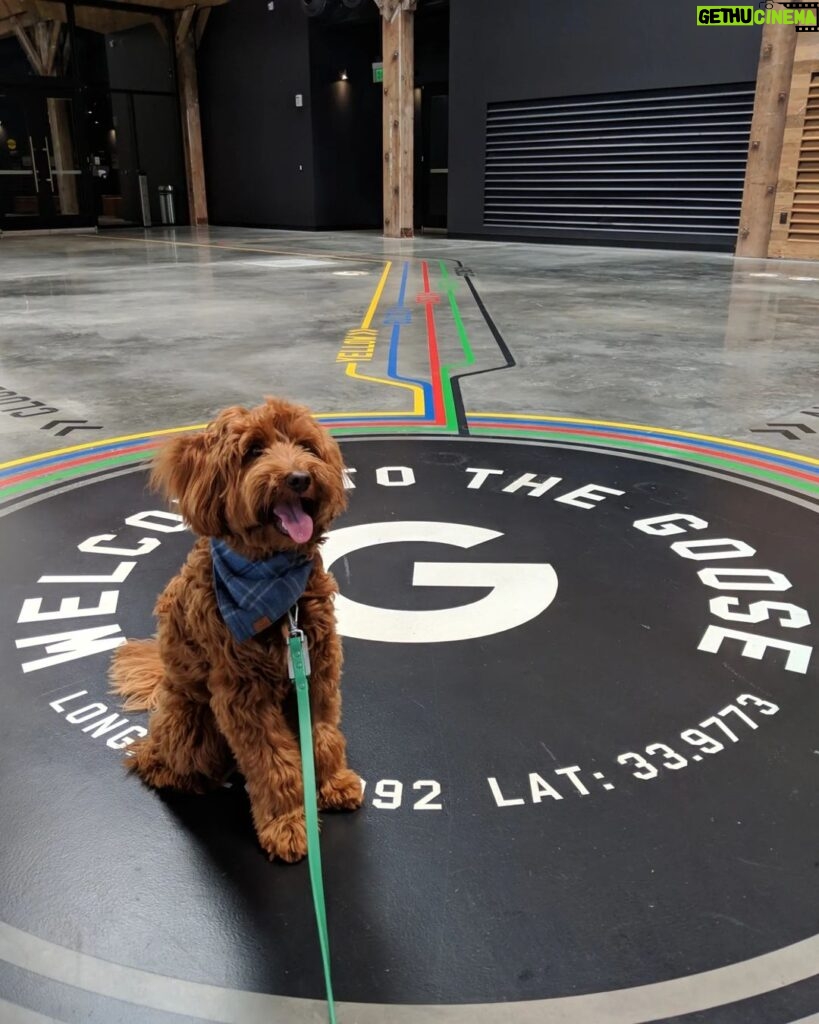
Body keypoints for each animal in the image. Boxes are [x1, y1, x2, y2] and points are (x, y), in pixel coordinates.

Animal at [108, 395, 362, 860]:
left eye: (306, 446)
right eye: (253, 451)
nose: (299, 478)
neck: (277, 590)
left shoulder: (317, 672)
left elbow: (322, 736)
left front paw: (332, 783)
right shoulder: (243, 696)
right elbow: (274, 763)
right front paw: (288, 825)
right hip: (192, 726)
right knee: (158, 761)